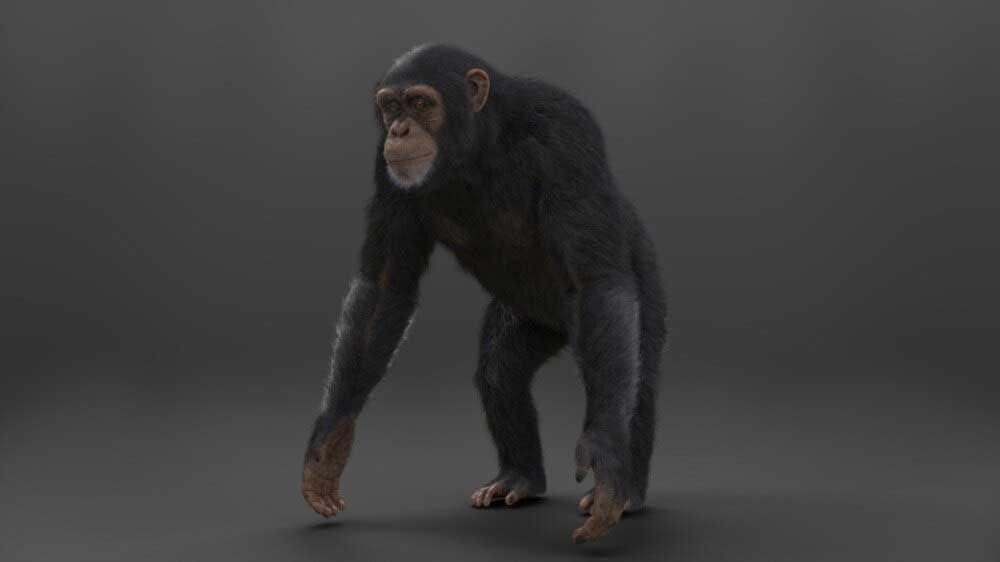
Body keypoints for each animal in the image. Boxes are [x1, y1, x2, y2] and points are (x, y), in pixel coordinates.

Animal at [301, 44, 667, 544]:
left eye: (420, 103)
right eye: (391, 106)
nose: (398, 129)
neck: (479, 145)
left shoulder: (566, 130)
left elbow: (598, 281)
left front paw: (604, 456)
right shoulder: (384, 166)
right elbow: (384, 288)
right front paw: (330, 443)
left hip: (641, 282)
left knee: (635, 374)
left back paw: (628, 492)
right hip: (528, 318)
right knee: (500, 369)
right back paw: (518, 478)